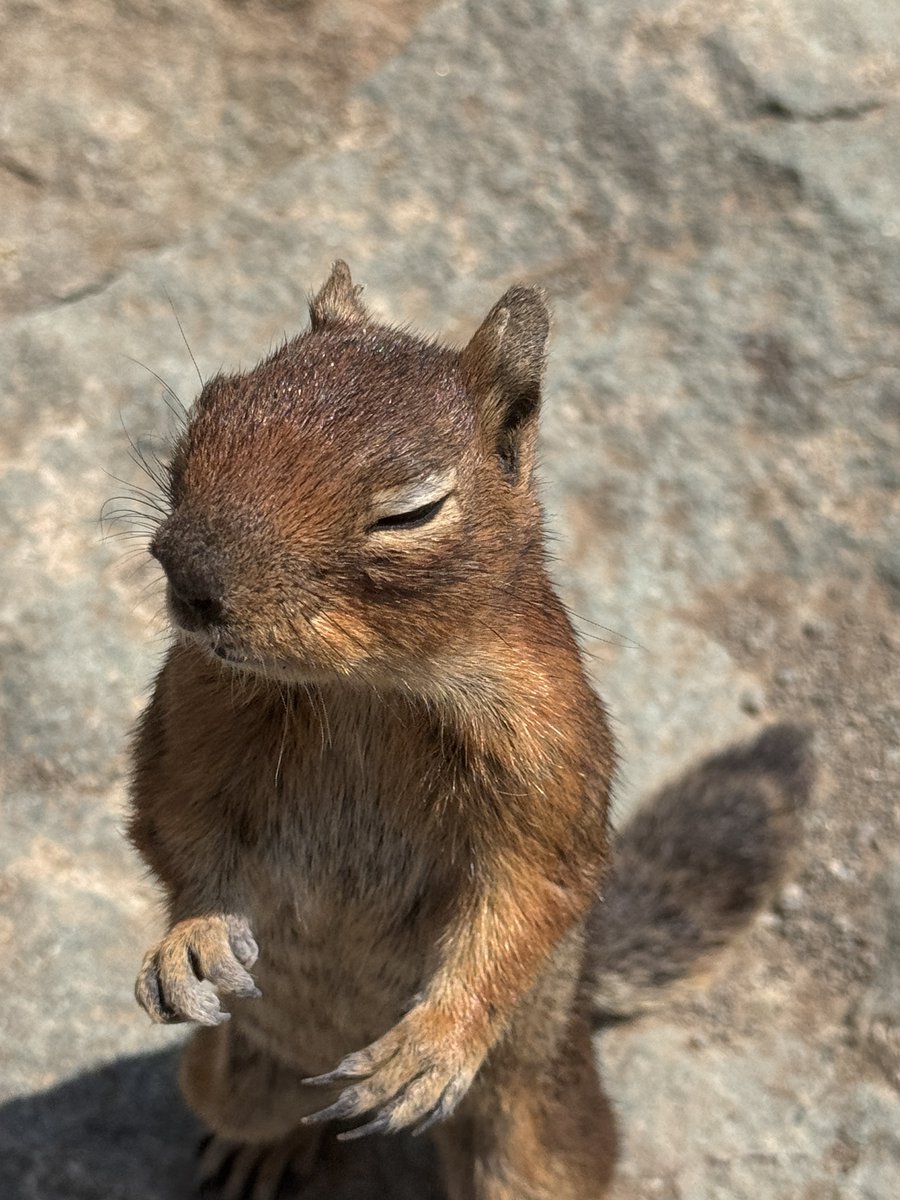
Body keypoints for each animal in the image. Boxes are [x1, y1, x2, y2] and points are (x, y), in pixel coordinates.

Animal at [126, 262, 813, 1200]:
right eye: (212, 403)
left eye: (412, 512)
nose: (187, 573)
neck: (364, 692)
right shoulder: (190, 717)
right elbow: (174, 825)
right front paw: (191, 943)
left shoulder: (547, 750)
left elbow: (530, 892)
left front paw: (433, 1044)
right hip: (225, 1077)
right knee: (266, 1109)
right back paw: (261, 1150)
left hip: (534, 1128)